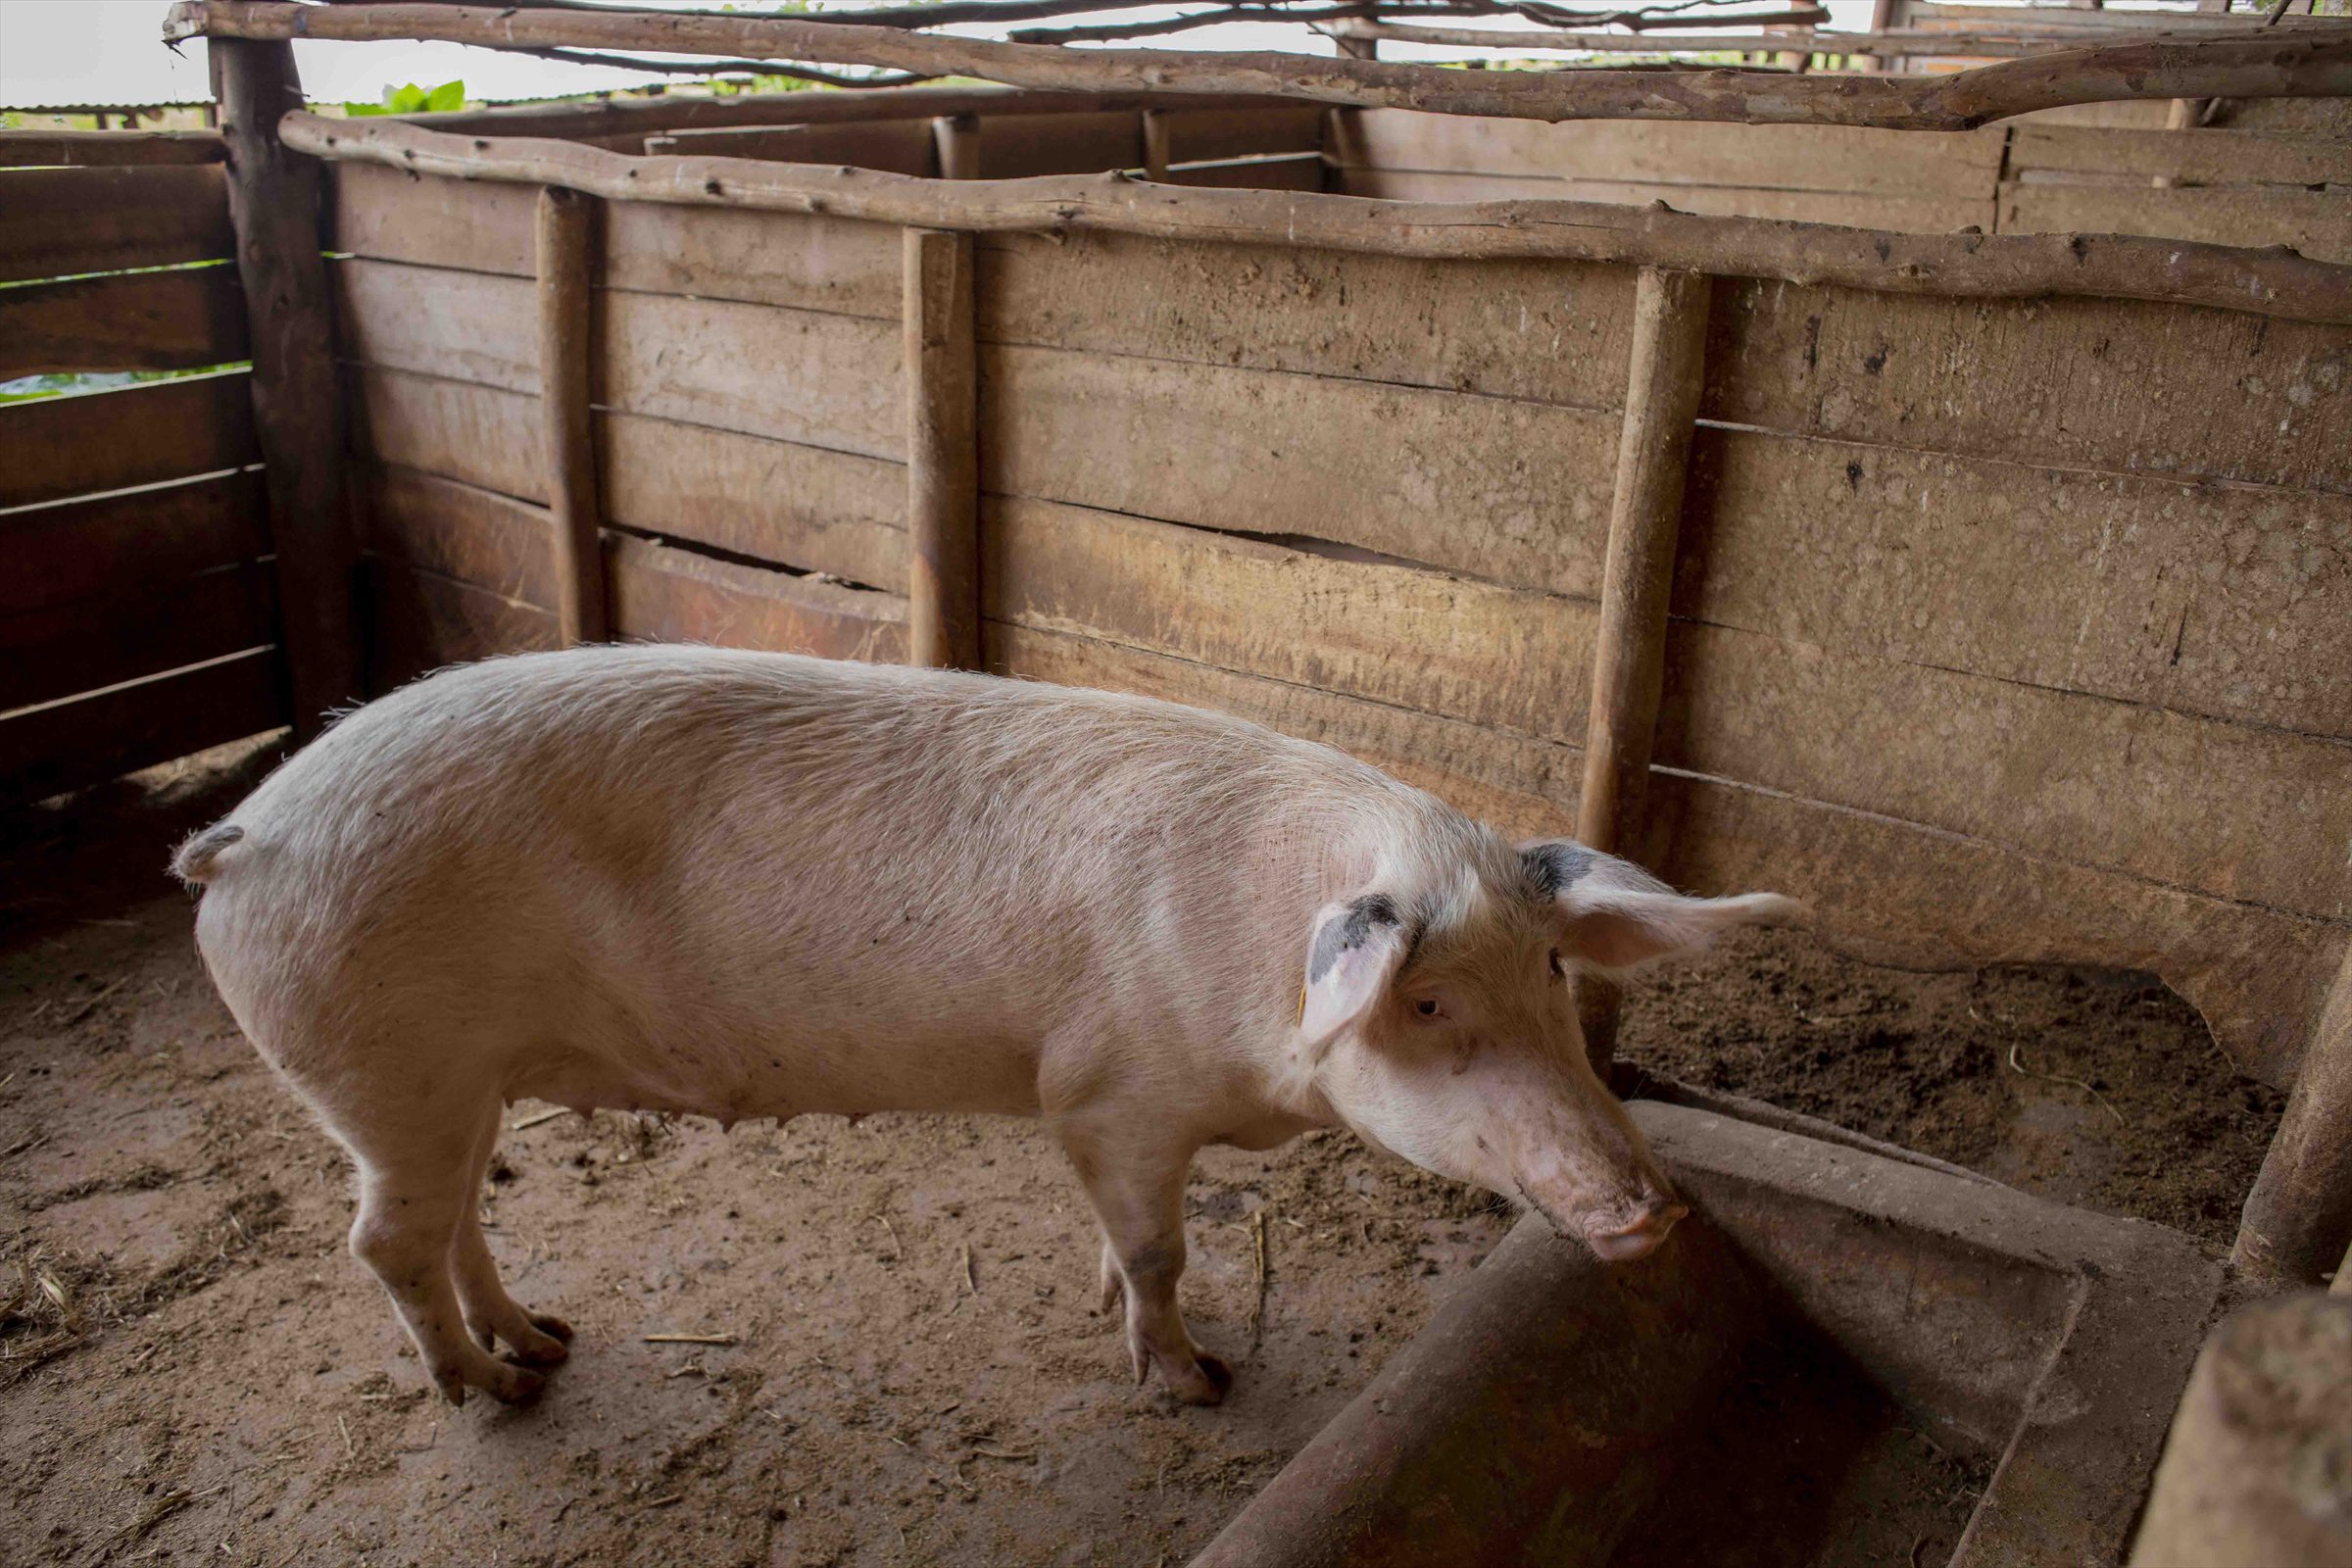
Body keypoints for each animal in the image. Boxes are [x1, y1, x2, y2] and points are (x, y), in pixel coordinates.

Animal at [174, 645, 1797, 1408]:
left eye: (1552, 982)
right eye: (1431, 1001)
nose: (1650, 1212)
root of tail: (247, 833)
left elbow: (1122, 1242)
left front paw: (1099, 1304)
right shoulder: (1109, 1090)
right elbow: (1163, 1247)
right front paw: (1192, 1381)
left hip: (450, 1084)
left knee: (455, 1217)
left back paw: (548, 1341)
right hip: (383, 1065)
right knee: (381, 1242)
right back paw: (495, 1393)